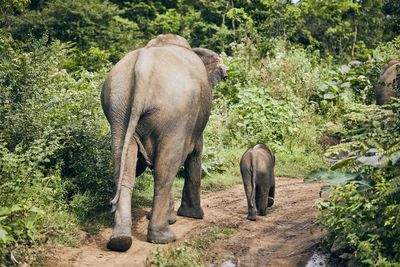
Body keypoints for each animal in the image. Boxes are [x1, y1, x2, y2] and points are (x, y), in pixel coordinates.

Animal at [100, 34, 227, 252]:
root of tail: (142, 69)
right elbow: (195, 154)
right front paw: (192, 216)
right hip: (176, 112)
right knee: (165, 170)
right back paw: (163, 238)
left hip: (118, 109)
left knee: (123, 167)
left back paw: (120, 241)